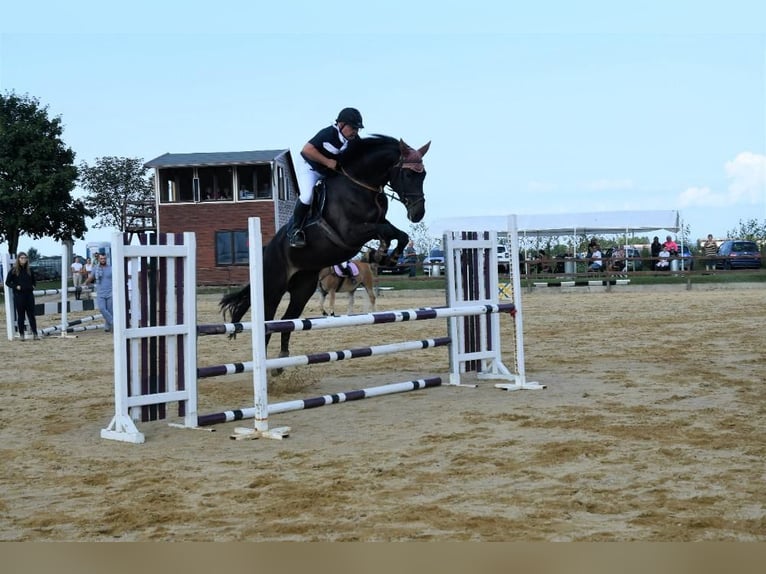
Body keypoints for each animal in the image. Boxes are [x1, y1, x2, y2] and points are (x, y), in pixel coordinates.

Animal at [220, 135, 432, 364]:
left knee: (287, 320)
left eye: (423, 175)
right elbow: (385, 231)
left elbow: (399, 234)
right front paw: (382, 255)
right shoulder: (351, 232)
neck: (360, 185)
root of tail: (266, 249)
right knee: (269, 322)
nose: (418, 213)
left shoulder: (376, 224)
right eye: (408, 174)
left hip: (303, 288)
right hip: (272, 287)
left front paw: (385, 256)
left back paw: (281, 360)